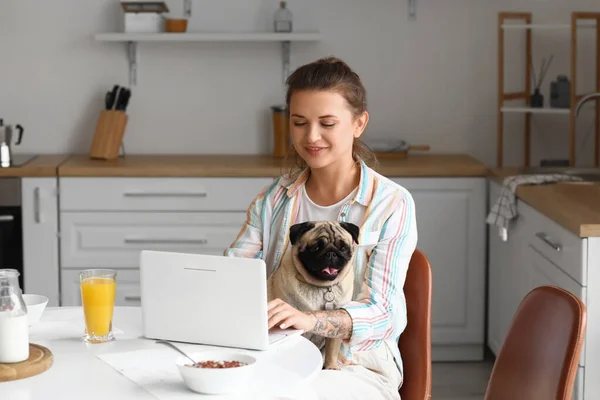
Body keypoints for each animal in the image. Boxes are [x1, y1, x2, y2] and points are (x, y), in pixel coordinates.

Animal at [268, 220, 360, 370]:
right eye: (316, 248)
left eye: (344, 248)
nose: (331, 254)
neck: (321, 286)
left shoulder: (335, 328)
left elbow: (332, 351)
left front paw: (331, 367)